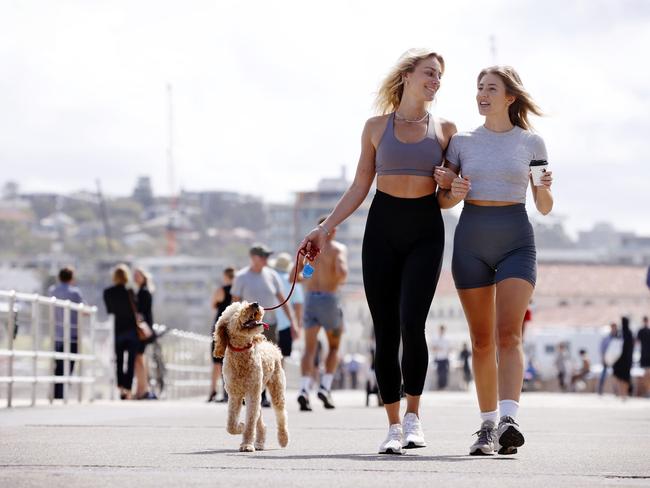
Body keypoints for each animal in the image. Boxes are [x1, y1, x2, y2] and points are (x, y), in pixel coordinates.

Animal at [213, 302, 288, 454]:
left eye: (245, 303)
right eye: (237, 311)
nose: (255, 304)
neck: (241, 352)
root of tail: (272, 346)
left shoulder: (252, 392)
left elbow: (250, 422)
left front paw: (247, 445)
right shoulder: (235, 394)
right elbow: (231, 424)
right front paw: (240, 426)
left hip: (276, 388)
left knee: (281, 414)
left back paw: (283, 439)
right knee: (260, 420)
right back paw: (259, 443)